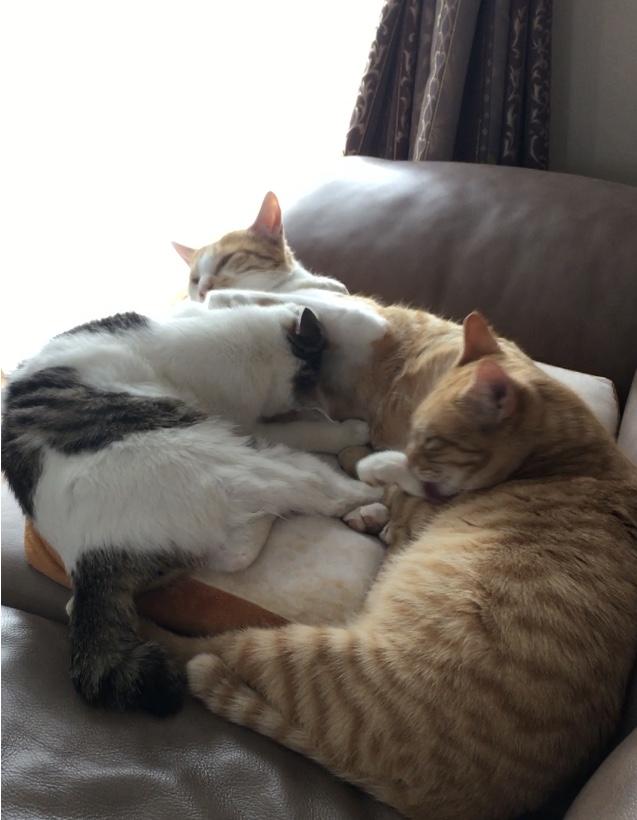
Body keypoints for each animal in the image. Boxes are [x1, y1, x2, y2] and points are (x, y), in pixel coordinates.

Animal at [1, 300, 382, 715]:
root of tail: (87, 555)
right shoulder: (251, 422)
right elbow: (310, 430)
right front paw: (352, 429)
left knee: (230, 553)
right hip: (245, 463)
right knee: (317, 489)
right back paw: (375, 496)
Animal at [141, 311, 637, 820]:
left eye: (431, 441)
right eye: (415, 431)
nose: (407, 453)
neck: (569, 458)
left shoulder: (420, 501)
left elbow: (377, 475)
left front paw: (372, 475)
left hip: (293, 649)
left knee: (203, 648)